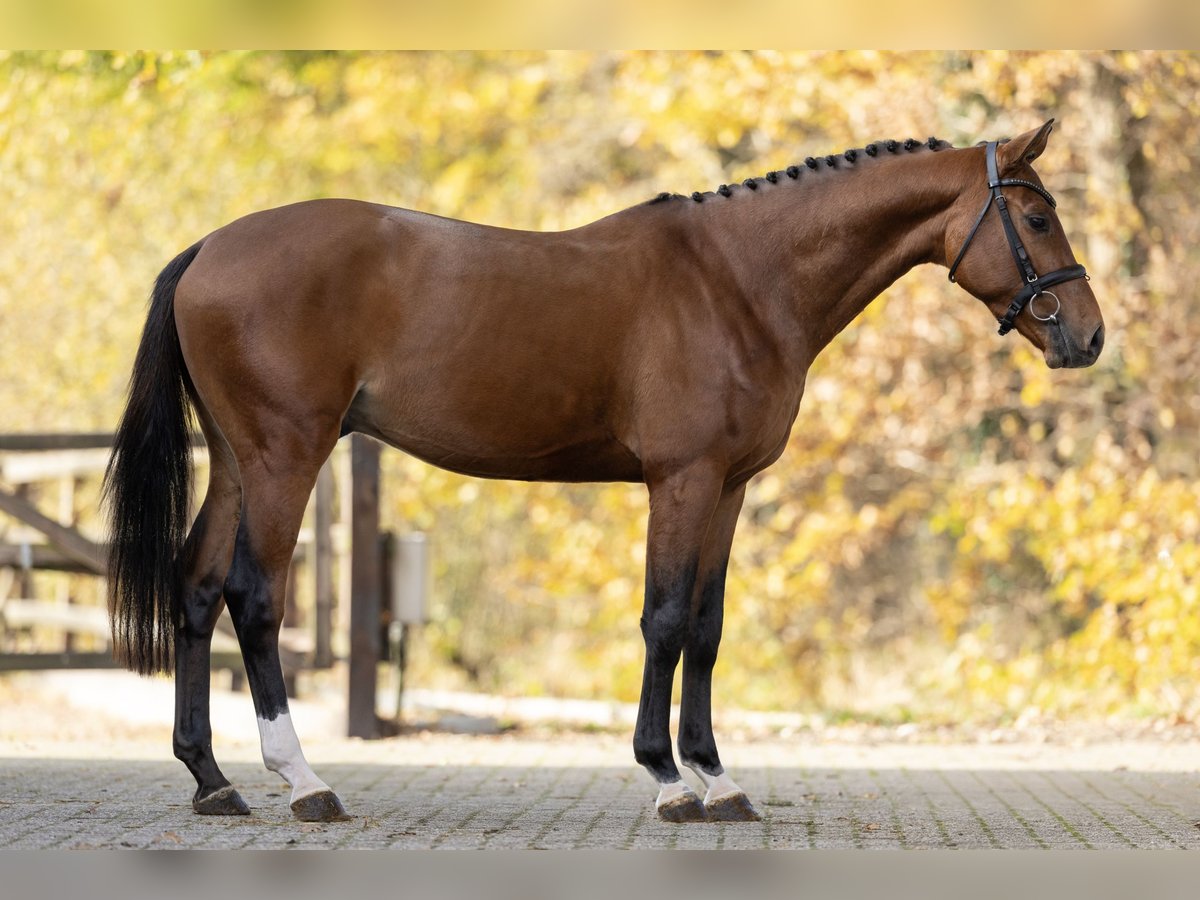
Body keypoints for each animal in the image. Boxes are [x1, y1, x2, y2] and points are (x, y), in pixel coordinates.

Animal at [105, 120, 1104, 825]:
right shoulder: (683, 480)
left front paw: (717, 777)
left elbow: (705, 625)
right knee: (252, 597)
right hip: (287, 456)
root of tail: (208, 250)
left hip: (238, 461)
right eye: (1038, 216)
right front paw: (668, 780)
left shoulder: (730, 487)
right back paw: (303, 781)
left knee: (196, 589)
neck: (741, 281)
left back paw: (212, 781)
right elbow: (663, 620)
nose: (1089, 337)